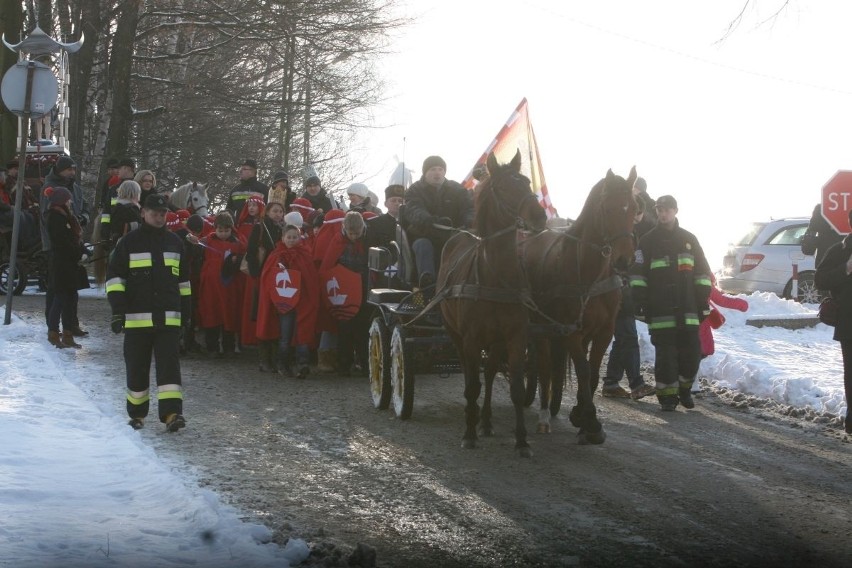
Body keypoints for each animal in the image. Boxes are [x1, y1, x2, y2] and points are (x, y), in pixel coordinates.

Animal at [436, 150, 548, 458]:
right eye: (504, 187)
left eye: (526, 182)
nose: (540, 216)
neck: (496, 277)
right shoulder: (471, 338)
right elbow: (472, 385)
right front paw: (468, 433)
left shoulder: (515, 336)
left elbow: (516, 390)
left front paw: (522, 440)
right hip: (456, 334)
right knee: (469, 375)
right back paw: (472, 417)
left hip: (496, 341)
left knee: (488, 374)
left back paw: (485, 421)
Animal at [520, 169, 640, 444]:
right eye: (607, 208)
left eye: (634, 209)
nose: (624, 260)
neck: (589, 274)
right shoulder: (568, 330)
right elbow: (583, 370)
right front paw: (591, 420)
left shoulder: (603, 331)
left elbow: (593, 373)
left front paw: (581, 415)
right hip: (539, 327)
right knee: (543, 366)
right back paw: (543, 413)